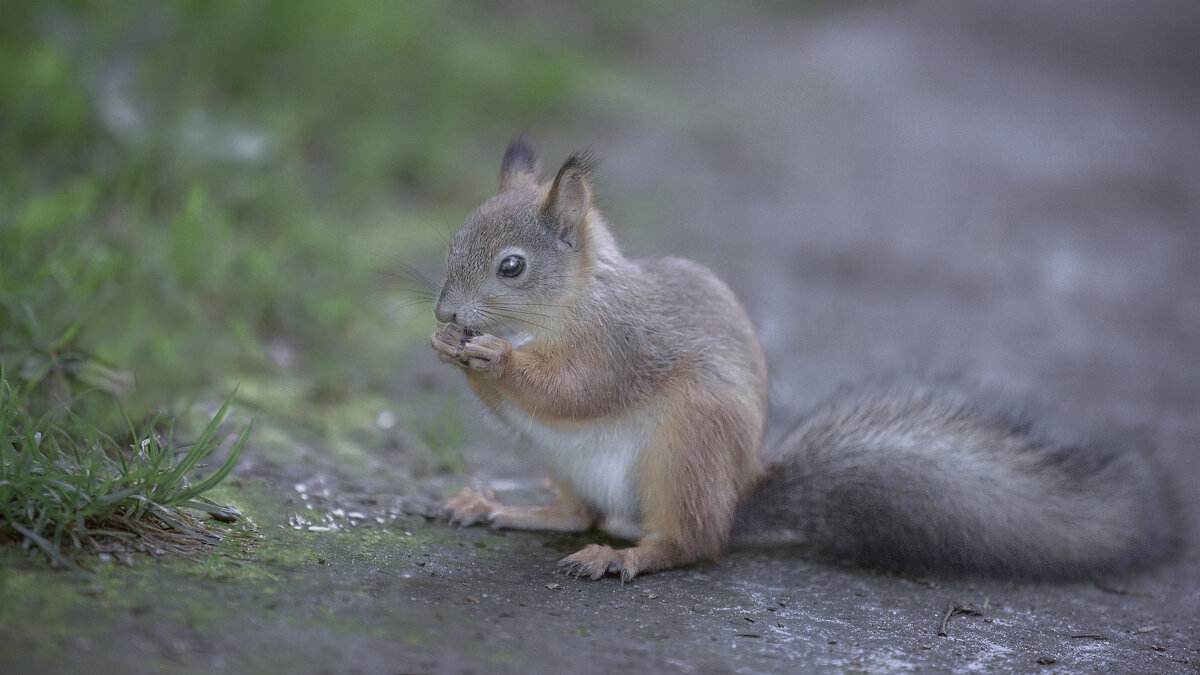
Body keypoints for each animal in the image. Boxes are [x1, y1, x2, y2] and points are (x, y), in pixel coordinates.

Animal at [429, 133, 1171, 581]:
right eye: (454, 241)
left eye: (512, 266)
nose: (443, 314)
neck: (569, 306)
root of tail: (732, 503)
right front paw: (449, 351)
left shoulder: (622, 344)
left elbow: (575, 389)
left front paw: (495, 358)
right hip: (568, 463)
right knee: (578, 510)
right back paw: (501, 507)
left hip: (688, 449)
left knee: (688, 542)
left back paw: (626, 557)